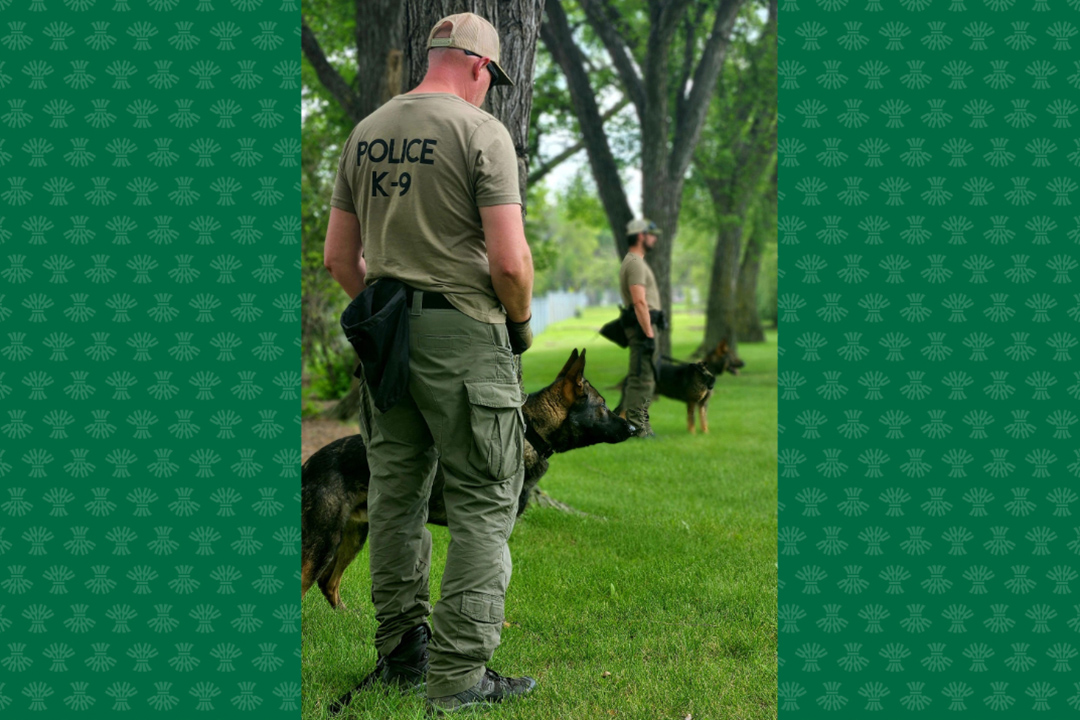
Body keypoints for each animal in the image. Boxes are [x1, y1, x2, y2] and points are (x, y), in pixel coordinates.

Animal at [300, 347, 630, 608]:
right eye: (603, 406)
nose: (633, 428)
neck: (530, 434)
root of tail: (308, 463)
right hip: (325, 540)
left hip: (355, 534)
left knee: (328, 583)